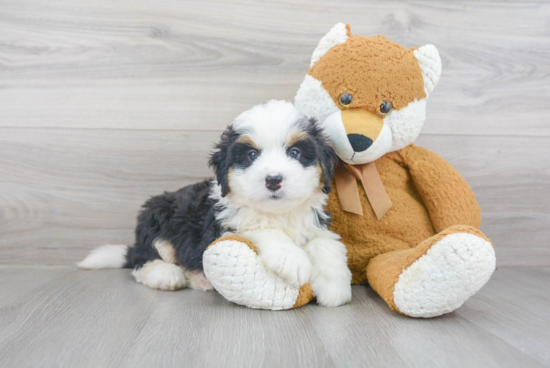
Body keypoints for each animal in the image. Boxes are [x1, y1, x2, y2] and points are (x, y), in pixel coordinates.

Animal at [77, 100, 354, 308]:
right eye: (251, 155)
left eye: (295, 153)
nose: (273, 179)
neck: (279, 213)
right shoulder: (226, 226)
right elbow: (265, 230)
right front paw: (292, 259)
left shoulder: (314, 222)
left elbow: (327, 244)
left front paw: (334, 287)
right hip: (156, 214)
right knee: (143, 259)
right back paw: (166, 275)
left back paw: (200, 279)